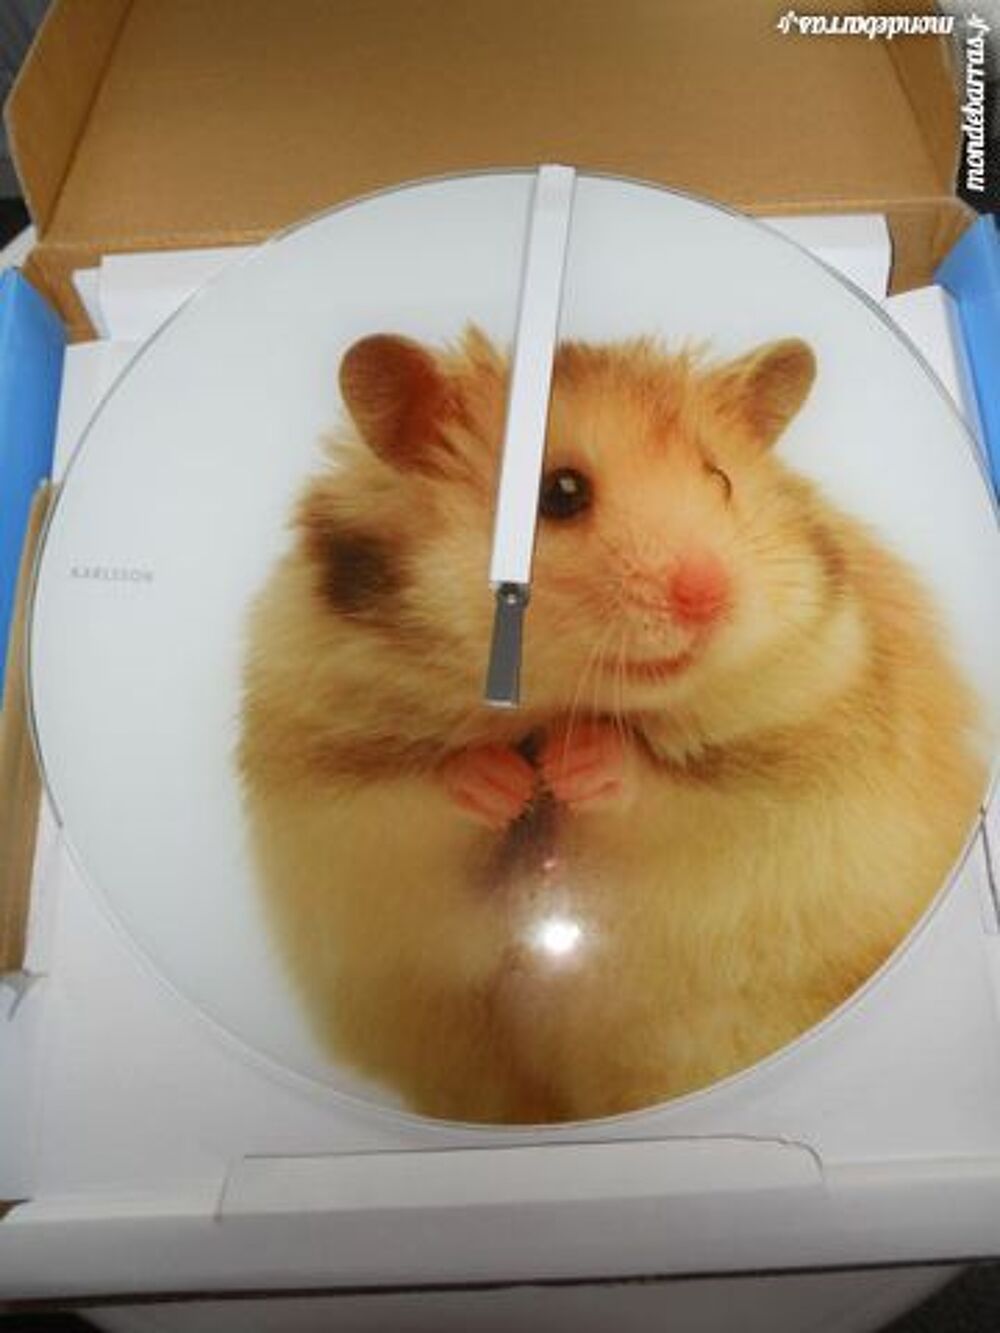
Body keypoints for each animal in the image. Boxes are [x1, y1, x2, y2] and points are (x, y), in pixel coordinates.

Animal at [237, 327, 986, 1124]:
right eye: (560, 493)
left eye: (721, 481)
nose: (708, 594)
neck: (555, 704)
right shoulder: (330, 793)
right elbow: (420, 794)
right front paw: (506, 779)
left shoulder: (783, 780)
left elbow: (661, 791)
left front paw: (577, 763)